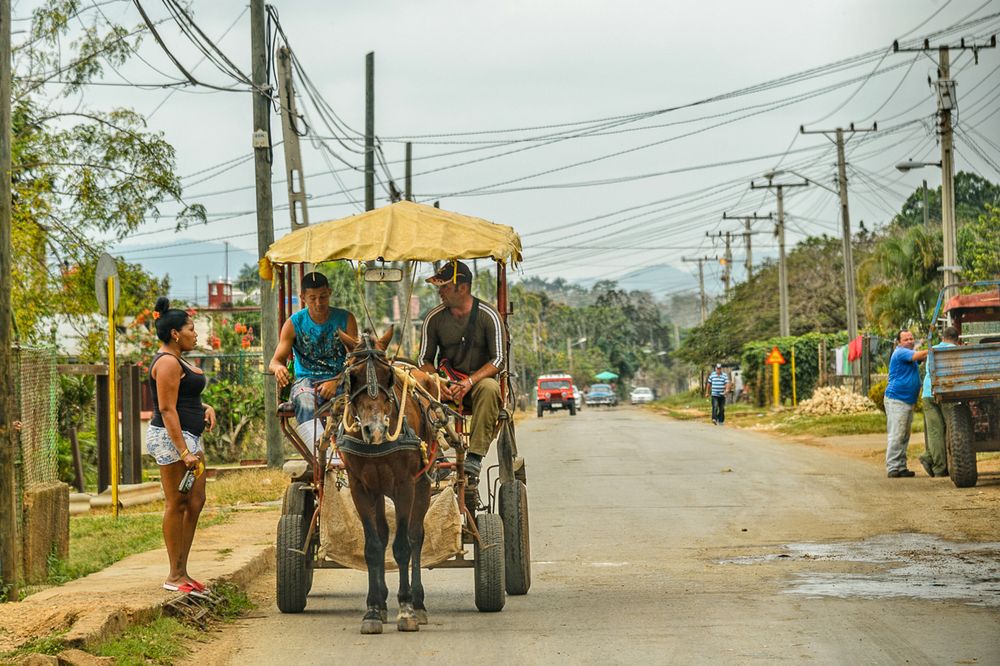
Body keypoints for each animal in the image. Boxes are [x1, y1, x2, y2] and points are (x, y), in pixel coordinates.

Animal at [336, 326, 438, 632]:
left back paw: (418, 602)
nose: (376, 430)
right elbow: (373, 545)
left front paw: (406, 609)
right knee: (382, 534)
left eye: (388, 375)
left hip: (422, 485)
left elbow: (403, 545)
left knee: (416, 536)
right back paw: (381, 602)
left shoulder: (405, 485)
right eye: (352, 376)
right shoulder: (360, 487)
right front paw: (372, 609)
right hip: (379, 491)